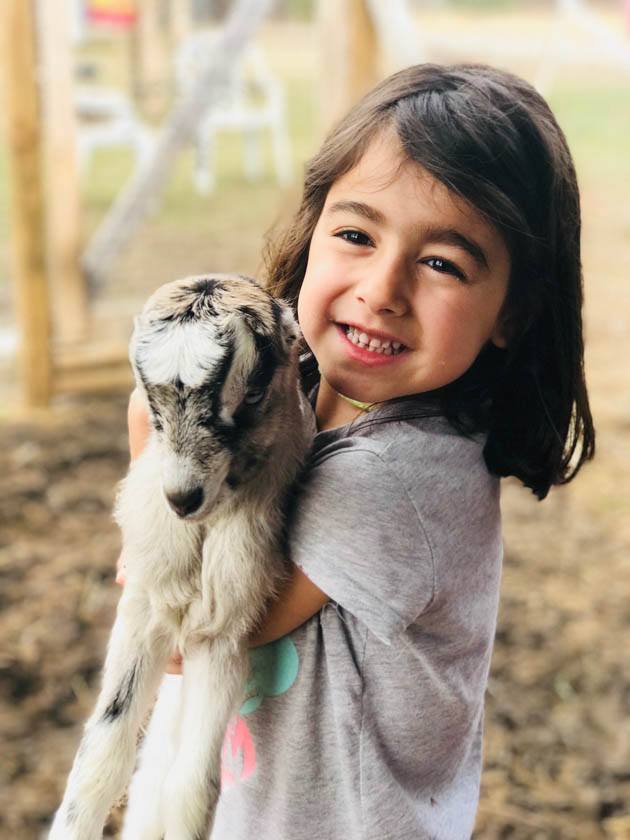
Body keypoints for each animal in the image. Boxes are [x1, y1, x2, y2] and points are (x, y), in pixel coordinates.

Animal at [50, 278, 316, 840]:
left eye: (253, 392)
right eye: (150, 404)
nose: (182, 498)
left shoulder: (222, 632)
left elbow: (192, 791)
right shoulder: (144, 603)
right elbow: (101, 759)